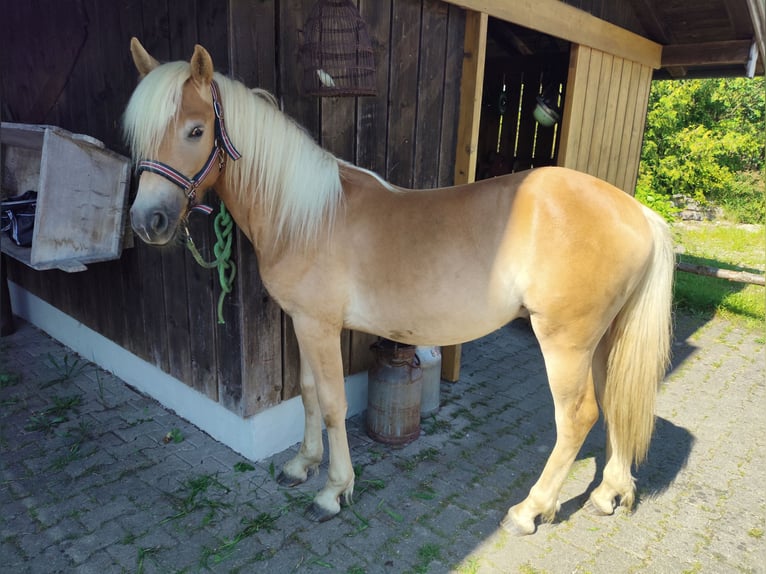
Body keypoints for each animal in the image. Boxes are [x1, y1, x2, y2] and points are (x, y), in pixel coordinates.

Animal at [123, 38, 676, 536]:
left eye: (196, 130)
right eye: (140, 136)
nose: (147, 221)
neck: (307, 215)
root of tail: (637, 213)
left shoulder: (319, 326)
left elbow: (333, 404)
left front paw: (333, 490)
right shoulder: (302, 322)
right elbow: (306, 392)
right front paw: (302, 465)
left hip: (565, 341)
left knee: (578, 416)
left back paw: (529, 510)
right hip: (604, 338)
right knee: (614, 400)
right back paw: (609, 493)